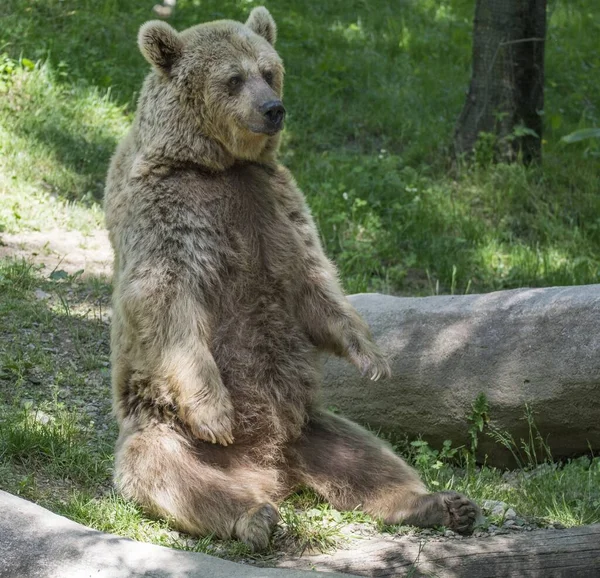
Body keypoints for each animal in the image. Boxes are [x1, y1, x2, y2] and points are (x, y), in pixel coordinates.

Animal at [104, 5, 478, 548]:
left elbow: (313, 279)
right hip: (165, 427)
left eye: (270, 70)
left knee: (372, 458)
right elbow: (167, 300)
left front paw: (372, 358)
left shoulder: (275, 206)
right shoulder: (169, 210)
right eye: (233, 78)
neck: (217, 163)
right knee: (167, 472)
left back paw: (440, 504)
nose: (273, 108)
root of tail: (271, 468)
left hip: (315, 426)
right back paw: (253, 516)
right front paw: (217, 414)